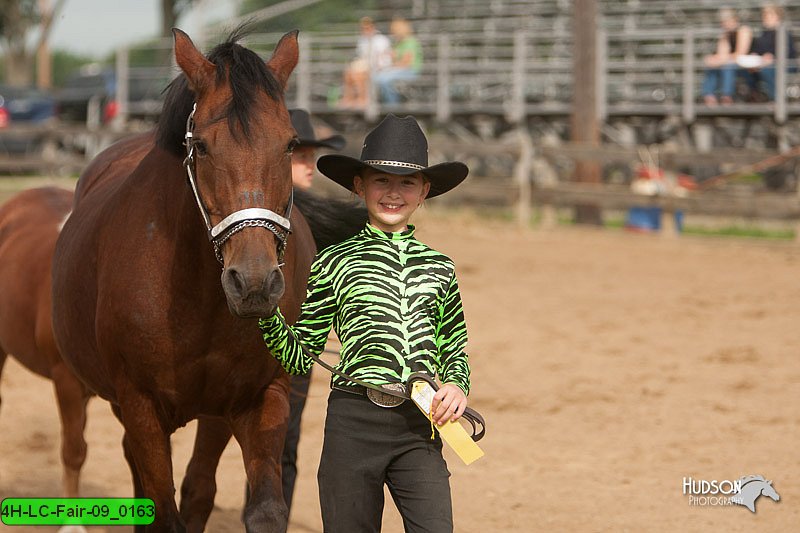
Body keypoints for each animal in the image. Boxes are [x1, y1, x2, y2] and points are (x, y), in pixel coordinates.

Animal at [51, 29, 316, 532]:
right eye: (204, 147)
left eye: (290, 144)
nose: (253, 282)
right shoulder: (140, 406)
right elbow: (162, 510)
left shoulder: (260, 397)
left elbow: (263, 510)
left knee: (198, 489)